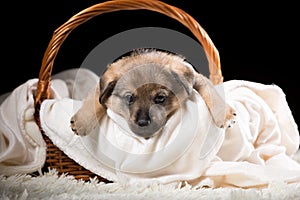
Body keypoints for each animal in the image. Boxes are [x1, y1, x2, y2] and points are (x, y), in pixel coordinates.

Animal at [71, 48, 237, 139]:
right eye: (129, 98)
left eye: (160, 98)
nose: (143, 123)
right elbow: (94, 101)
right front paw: (81, 122)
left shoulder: (198, 79)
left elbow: (211, 93)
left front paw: (225, 115)